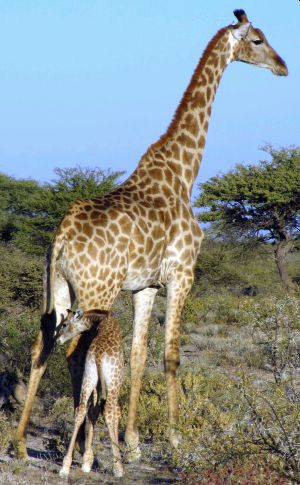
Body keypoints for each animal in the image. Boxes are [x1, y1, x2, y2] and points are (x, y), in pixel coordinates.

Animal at [14, 9, 288, 460]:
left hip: (56, 289)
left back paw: (19, 442)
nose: (283, 67)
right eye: (259, 40)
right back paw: (84, 447)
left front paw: (134, 440)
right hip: (96, 291)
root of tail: (61, 239)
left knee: (42, 346)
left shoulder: (145, 287)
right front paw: (174, 438)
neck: (183, 172)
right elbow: (171, 354)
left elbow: (139, 354)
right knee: (75, 353)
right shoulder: (182, 274)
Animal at [56, 308, 124, 478]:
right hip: (113, 381)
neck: (99, 321)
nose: (58, 340)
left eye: (65, 324)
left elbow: (92, 412)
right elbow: (110, 413)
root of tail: (99, 354)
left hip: (89, 376)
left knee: (80, 410)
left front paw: (87, 461)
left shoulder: (96, 383)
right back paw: (118, 467)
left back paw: (65, 466)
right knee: (110, 411)